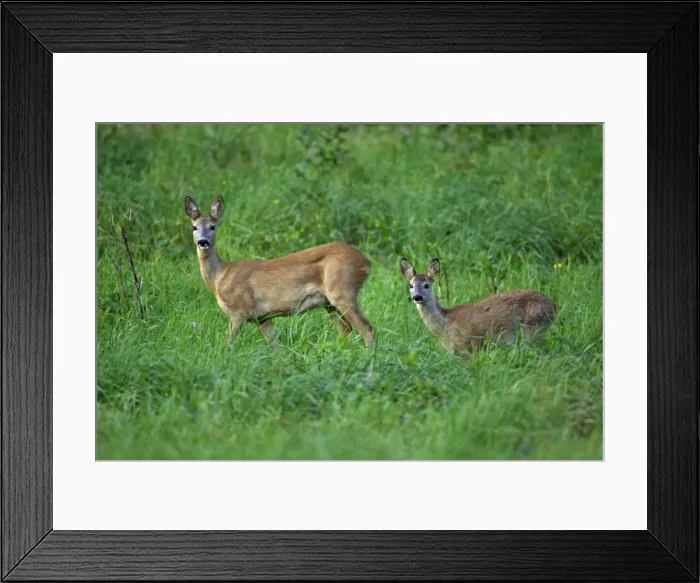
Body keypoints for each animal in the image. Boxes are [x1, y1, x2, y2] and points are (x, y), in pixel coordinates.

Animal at [185, 196, 375, 348]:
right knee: (348, 333)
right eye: (194, 227)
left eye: (213, 226)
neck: (219, 278)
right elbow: (276, 347)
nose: (203, 242)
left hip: (342, 291)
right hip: (330, 304)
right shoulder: (262, 318)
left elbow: (229, 343)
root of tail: (366, 262)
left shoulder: (240, 310)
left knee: (368, 329)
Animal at [399, 257, 556, 356]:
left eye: (427, 285)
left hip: (533, 329)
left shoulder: (475, 343)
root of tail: (553, 305)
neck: (446, 326)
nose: (417, 297)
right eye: (411, 285)